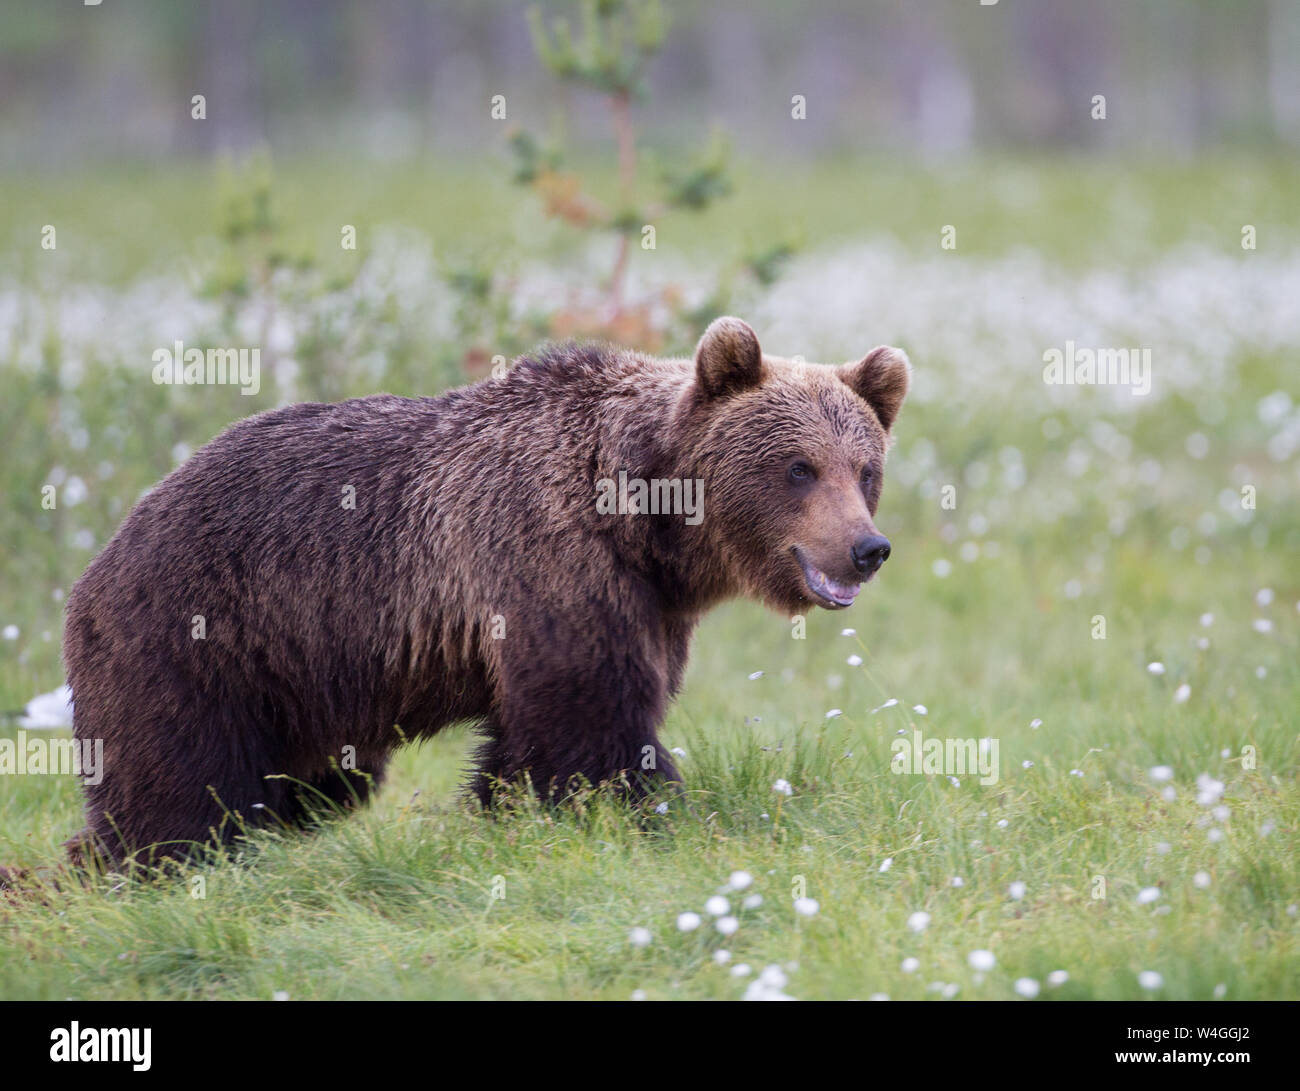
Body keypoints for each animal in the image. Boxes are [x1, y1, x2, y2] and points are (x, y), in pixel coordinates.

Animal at [57, 316, 909, 870]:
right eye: (799, 467)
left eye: (865, 468)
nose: (867, 548)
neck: (646, 521)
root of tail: (100, 556)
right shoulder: (548, 559)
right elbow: (587, 721)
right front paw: (650, 807)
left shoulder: (648, 606)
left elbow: (550, 731)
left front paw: (511, 805)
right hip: (195, 634)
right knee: (180, 779)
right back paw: (147, 858)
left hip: (291, 683)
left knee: (315, 781)